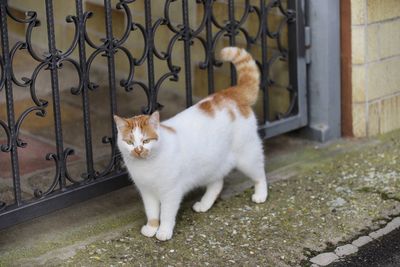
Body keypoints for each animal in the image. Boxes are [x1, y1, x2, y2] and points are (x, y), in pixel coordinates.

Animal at [114, 46, 268, 243]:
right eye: (129, 142)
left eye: (146, 140)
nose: (138, 150)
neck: (147, 166)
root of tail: (230, 93)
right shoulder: (147, 193)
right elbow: (152, 212)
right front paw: (151, 228)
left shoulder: (171, 193)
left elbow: (166, 214)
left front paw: (163, 231)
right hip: (211, 164)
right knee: (217, 183)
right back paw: (204, 204)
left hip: (247, 156)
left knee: (260, 174)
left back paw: (261, 194)